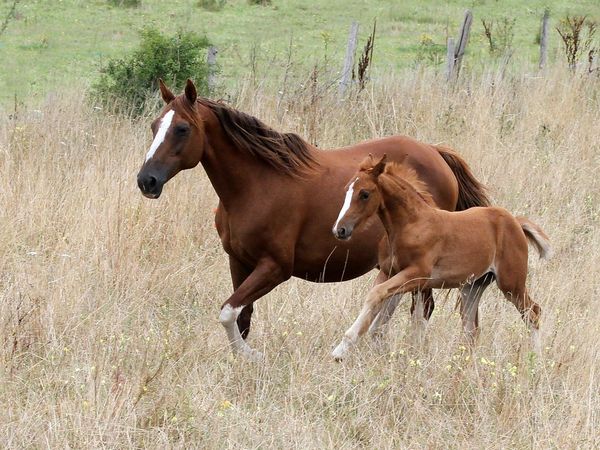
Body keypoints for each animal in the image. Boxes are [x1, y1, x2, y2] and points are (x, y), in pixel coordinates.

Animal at [330, 155, 552, 358]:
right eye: (346, 190)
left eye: (364, 193)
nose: (340, 229)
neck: (409, 224)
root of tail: (516, 222)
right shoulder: (388, 272)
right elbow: (377, 303)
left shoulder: (417, 274)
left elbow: (375, 295)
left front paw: (340, 350)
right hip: (472, 287)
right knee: (471, 329)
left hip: (511, 284)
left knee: (533, 312)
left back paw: (536, 359)